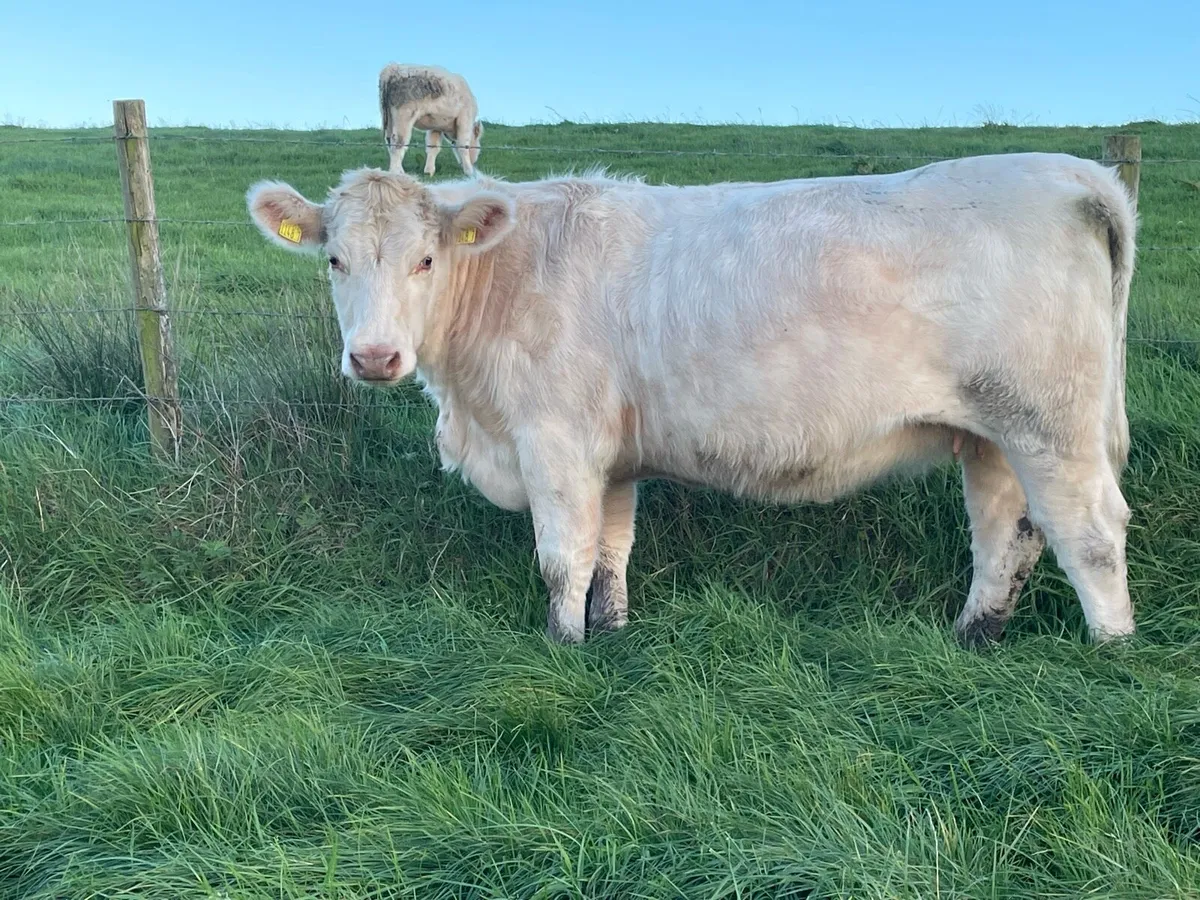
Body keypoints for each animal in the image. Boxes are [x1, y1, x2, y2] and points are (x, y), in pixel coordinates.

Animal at [246, 152, 1137, 647]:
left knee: (1089, 533)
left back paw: (1112, 651)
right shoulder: (609, 454)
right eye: (334, 260)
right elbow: (611, 549)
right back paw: (974, 635)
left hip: (1050, 422)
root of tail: (1076, 173)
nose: (374, 357)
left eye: (426, 259)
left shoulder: (555, 441)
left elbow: (562, 556)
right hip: (993, 431)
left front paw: (560, 646)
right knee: (1005, 532)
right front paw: (609, 634)